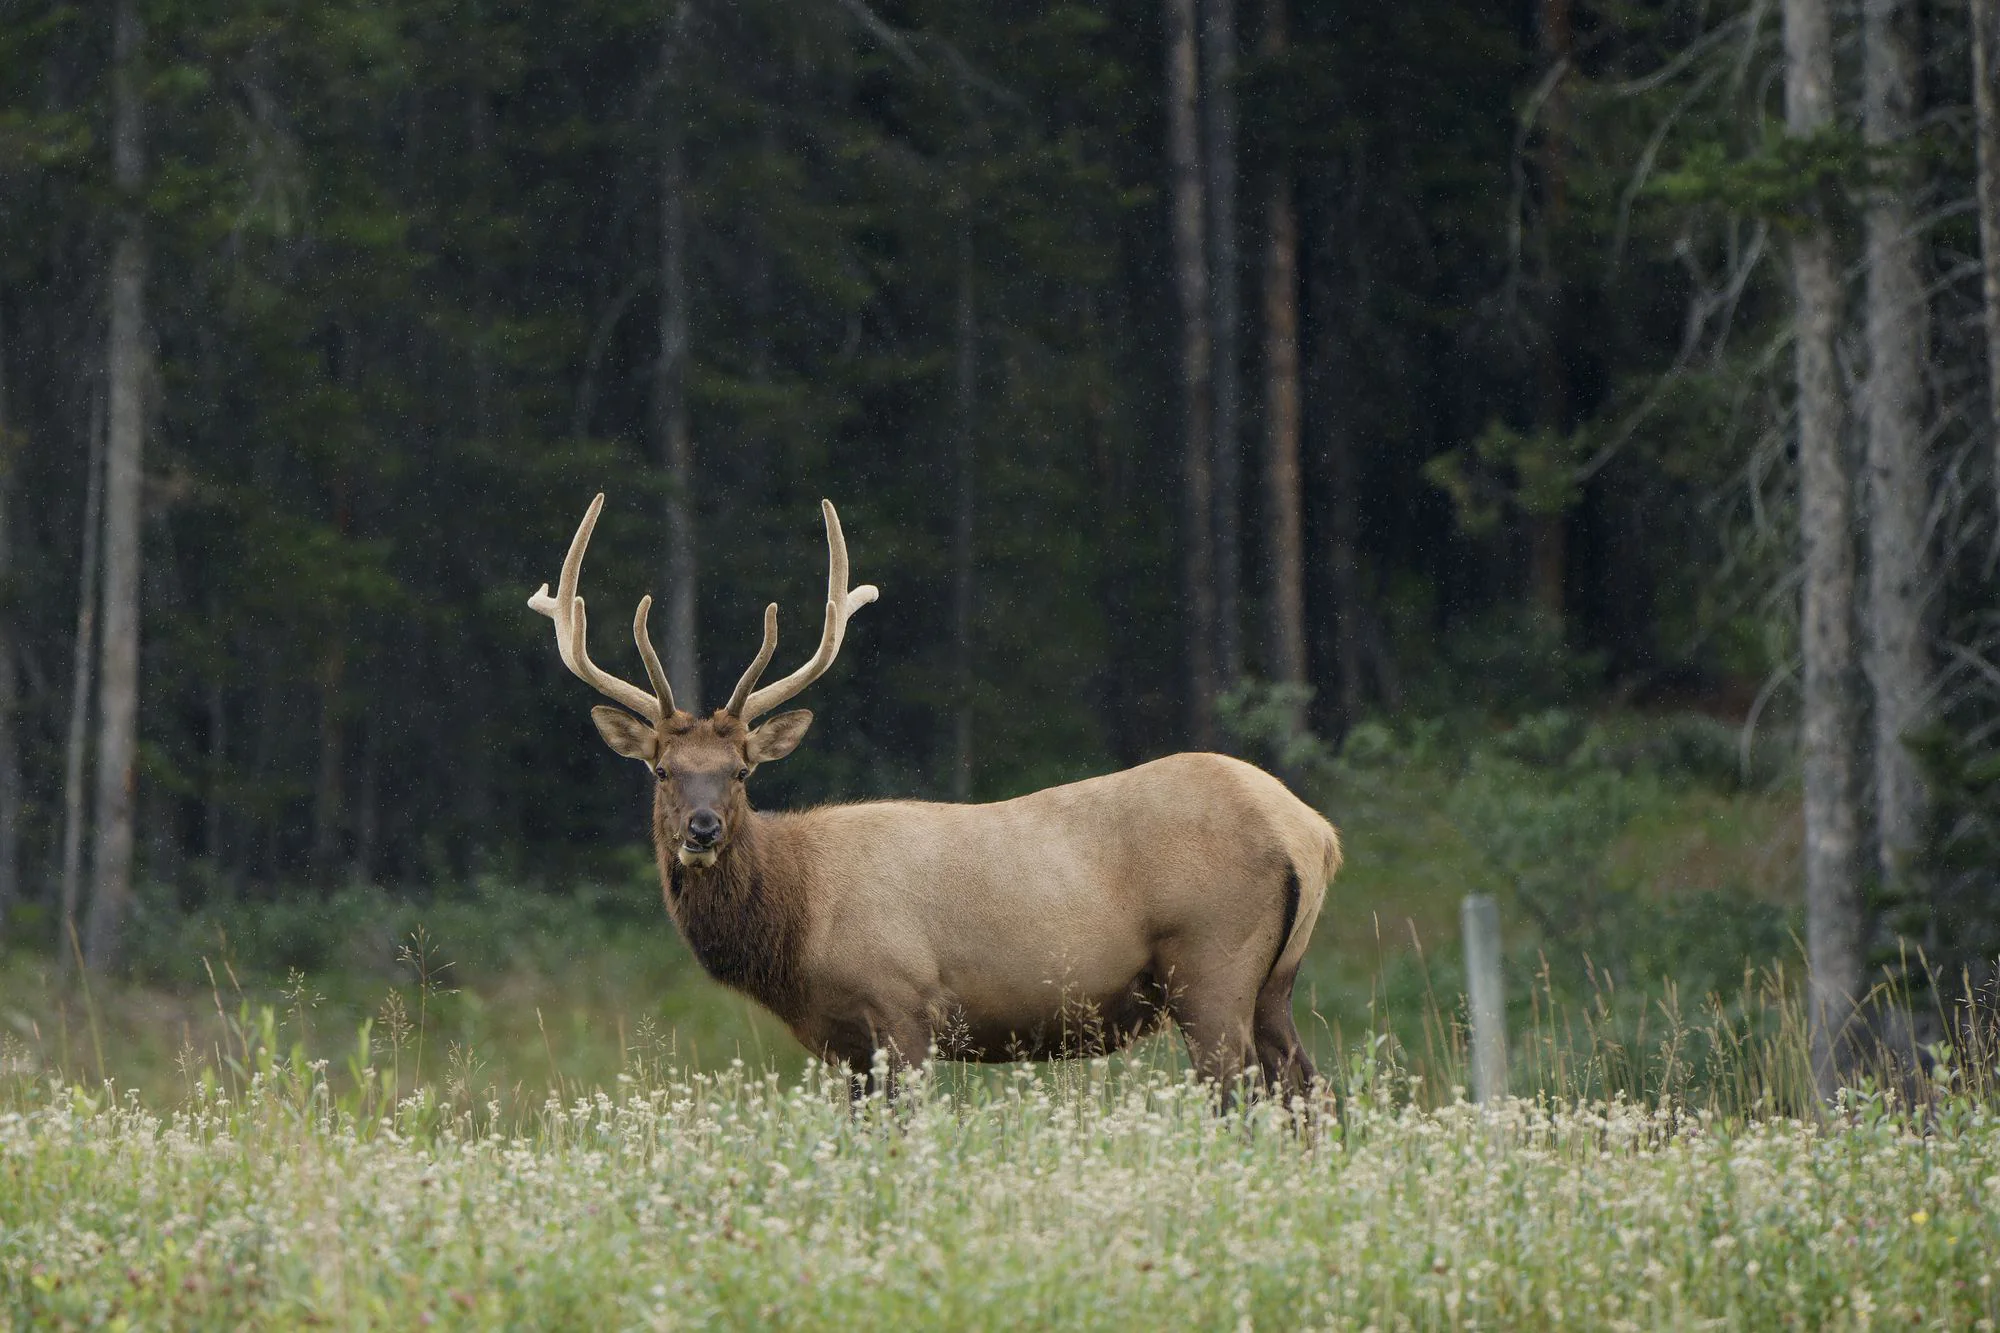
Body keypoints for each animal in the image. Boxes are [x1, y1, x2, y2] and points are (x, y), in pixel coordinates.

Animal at [529, 494, 1341, 1103]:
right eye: (662, 770)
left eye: (740, 772)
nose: (700, 829)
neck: (799, 921)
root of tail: (1313, 833)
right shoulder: (845, 1044)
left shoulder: (902, 1003)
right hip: (1275, 980)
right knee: (1311, 1090)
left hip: (1211, 962)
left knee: (1242, 1095)